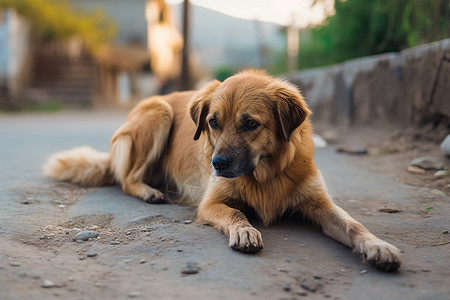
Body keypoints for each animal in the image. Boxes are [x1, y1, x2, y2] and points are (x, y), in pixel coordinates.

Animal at [43, 70, 400, 272]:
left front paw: (378, 246)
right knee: (127, 179)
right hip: (158, 111)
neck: (265, 175)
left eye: (251, 124)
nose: (217, 164)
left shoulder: (318, 203)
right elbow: (236, 213)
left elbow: (353, 224)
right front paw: (245, 231)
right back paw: (149, 191)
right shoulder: (211, 203)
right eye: (213, 122)